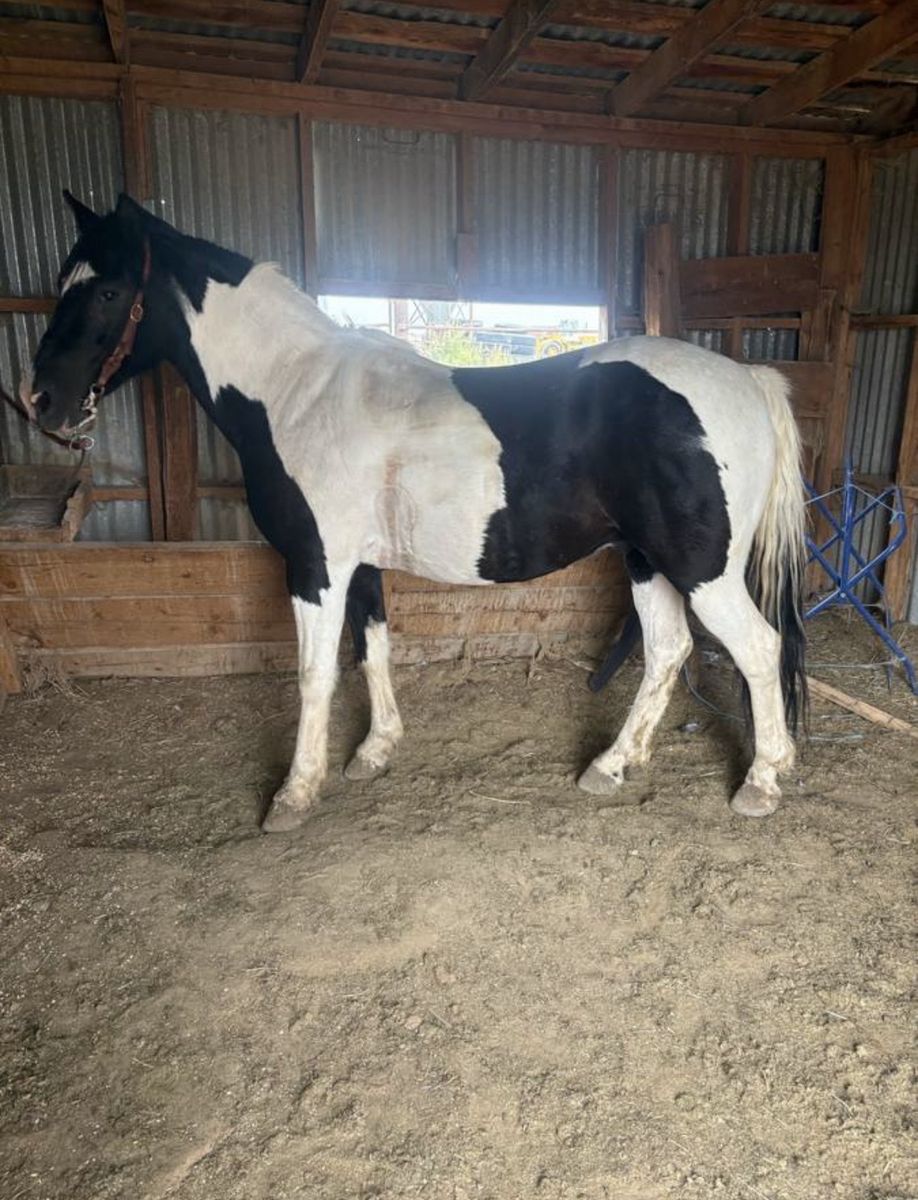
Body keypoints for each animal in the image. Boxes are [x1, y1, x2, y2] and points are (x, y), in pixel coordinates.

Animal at [19, 191, 807, 831]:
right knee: (668, 650)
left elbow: (314, 673)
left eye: (110, 290)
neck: (293, 391)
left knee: (758, 648)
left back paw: (761, 782)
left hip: (702, 570)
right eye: (64, 284)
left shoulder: (315, 567)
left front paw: (294, 794)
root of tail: (747, 380)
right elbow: (372, 650)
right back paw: (612, 766)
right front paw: (374, 752)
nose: (42, 403)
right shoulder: (358, 566)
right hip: (647, 561)